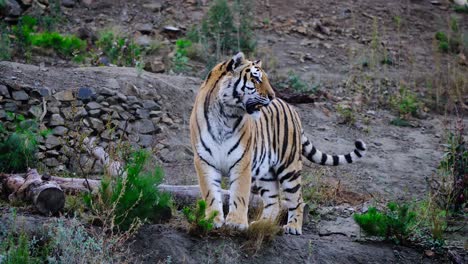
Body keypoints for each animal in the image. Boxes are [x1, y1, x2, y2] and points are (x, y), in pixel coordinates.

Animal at [189, 52, 366, 234]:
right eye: (256, 79)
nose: (272, 96)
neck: (225, 114)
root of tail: (291, 107)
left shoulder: (242, 161)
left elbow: (239, 193)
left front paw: (236, 223)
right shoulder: (204, 161)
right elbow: (210, 194)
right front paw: (212, 220)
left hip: (290, 167)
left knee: (297, 199)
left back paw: (293, 227)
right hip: (266, 173)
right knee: (274, 202)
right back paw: (261, 224)